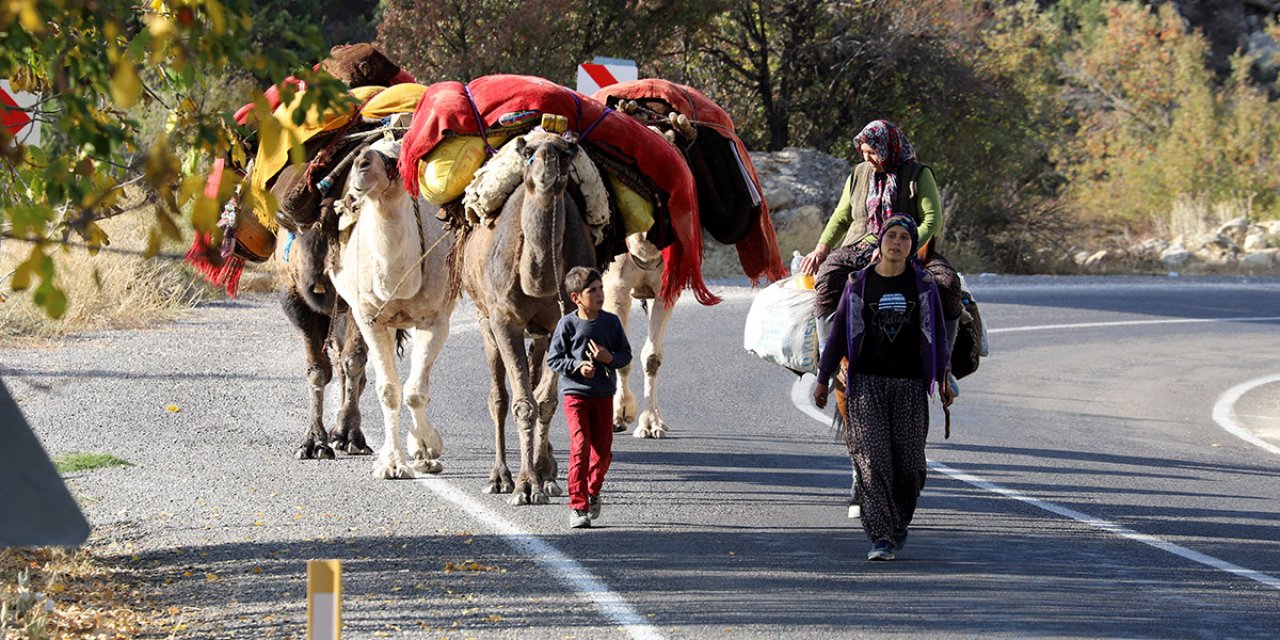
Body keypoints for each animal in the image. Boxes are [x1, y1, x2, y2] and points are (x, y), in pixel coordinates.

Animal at [327, 140, 458, 481]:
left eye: (394, 159)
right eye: (366, 153)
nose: (360, 164)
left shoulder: (435, 320)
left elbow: (415, 391)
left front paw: (426, 451)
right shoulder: (370, 319)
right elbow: (388, 390)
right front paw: (392, 464)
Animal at [460, 131, 599, 504]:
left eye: (567, 153)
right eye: (528, 154)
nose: (547, 160)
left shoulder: (558, 324)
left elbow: (545, 400)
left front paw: (540, 479)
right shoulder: (502, 318)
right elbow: (522, 402)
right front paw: (523, 486)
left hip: (537, 334)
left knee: (536, 379)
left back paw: (546, 470)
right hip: (483, 316)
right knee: (498, 396)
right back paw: (500, 477)